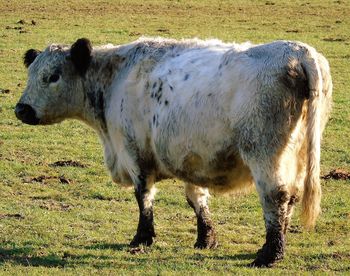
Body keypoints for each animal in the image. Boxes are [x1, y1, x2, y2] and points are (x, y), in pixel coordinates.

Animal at [15, 37, 332, 268]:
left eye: (53, 76)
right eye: (31, 74)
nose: (21, 109)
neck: (116, 77)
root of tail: (297, 51)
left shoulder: (134, 152)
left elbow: (144, 196)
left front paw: (142, 238)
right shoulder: (191, 157)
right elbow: (196, 198)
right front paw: (206, 239)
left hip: (264, 154)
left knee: (275, 197)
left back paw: (269, 254)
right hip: (296, 156)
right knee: (290, 198)